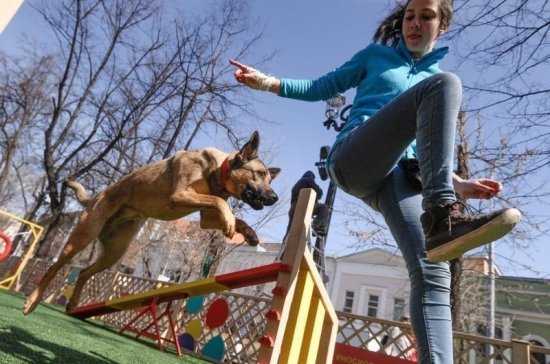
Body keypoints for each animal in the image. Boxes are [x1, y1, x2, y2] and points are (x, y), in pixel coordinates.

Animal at [22, 131, 280, 316]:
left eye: (269, 178)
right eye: (259, 174)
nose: (275, 198)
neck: (217, 171)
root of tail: (94, 199)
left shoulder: (206, 218)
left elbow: (230, 212)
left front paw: (249, 233)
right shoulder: (180, 194)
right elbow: (219, 202)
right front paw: (230, 222)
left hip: (114, 253)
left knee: (85, 272)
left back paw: (72, 303)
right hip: (82, 237)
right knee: (55, 268)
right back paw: (32, 302)